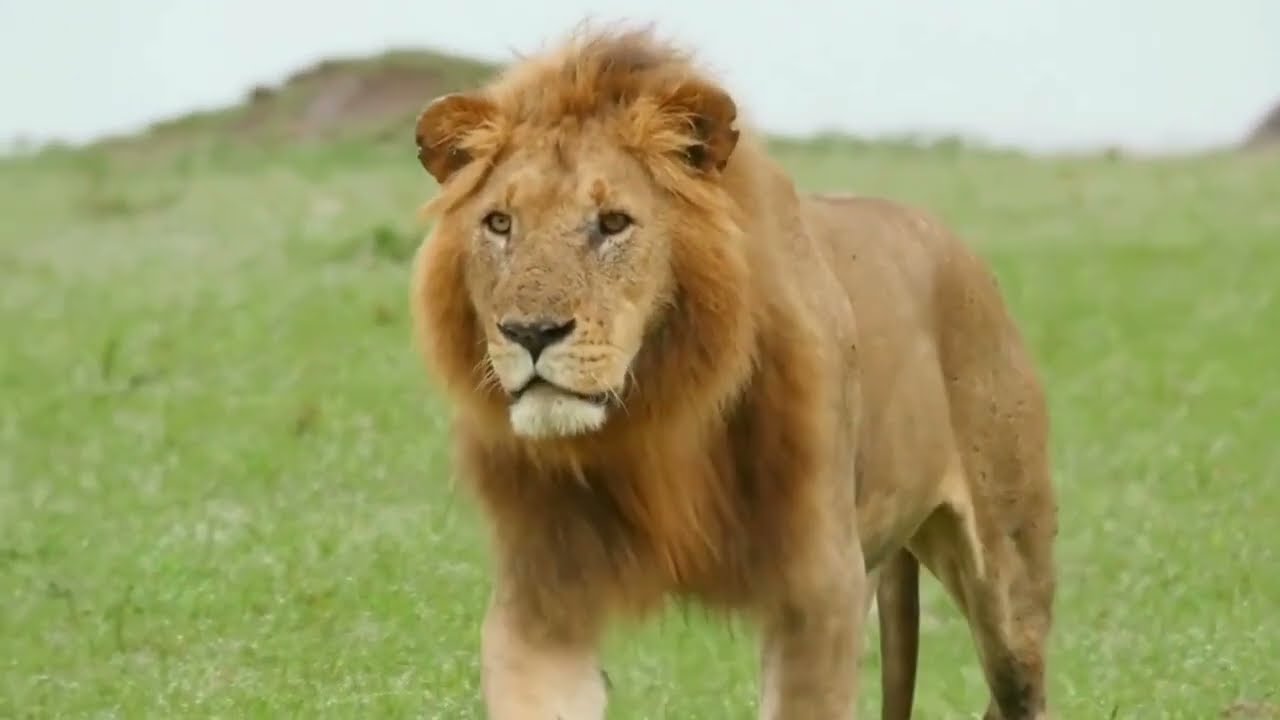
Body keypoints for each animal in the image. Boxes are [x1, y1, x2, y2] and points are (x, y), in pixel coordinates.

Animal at [408, 25, 1058, 720]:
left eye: (613, 223)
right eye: (500, 223)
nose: (530, 333)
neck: (656, 416)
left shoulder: (821, 590)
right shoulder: (542, 598)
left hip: (1011, 590)